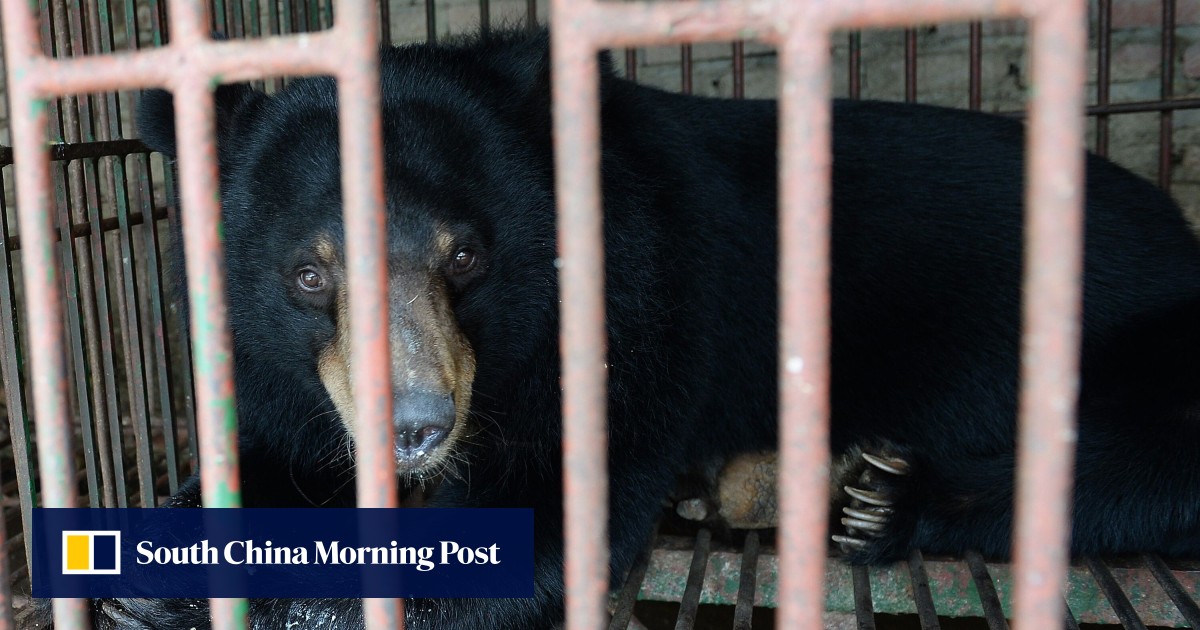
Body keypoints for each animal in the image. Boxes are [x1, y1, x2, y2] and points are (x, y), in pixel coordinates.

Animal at [40, 28, 1200, 629]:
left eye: (466, 255)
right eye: (309, 273)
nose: (415, 427)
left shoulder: (641, 310)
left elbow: (548, 517)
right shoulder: (284, 371)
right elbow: (281, 444)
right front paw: (153, 565)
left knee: (1141, 458)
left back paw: (878, 496)